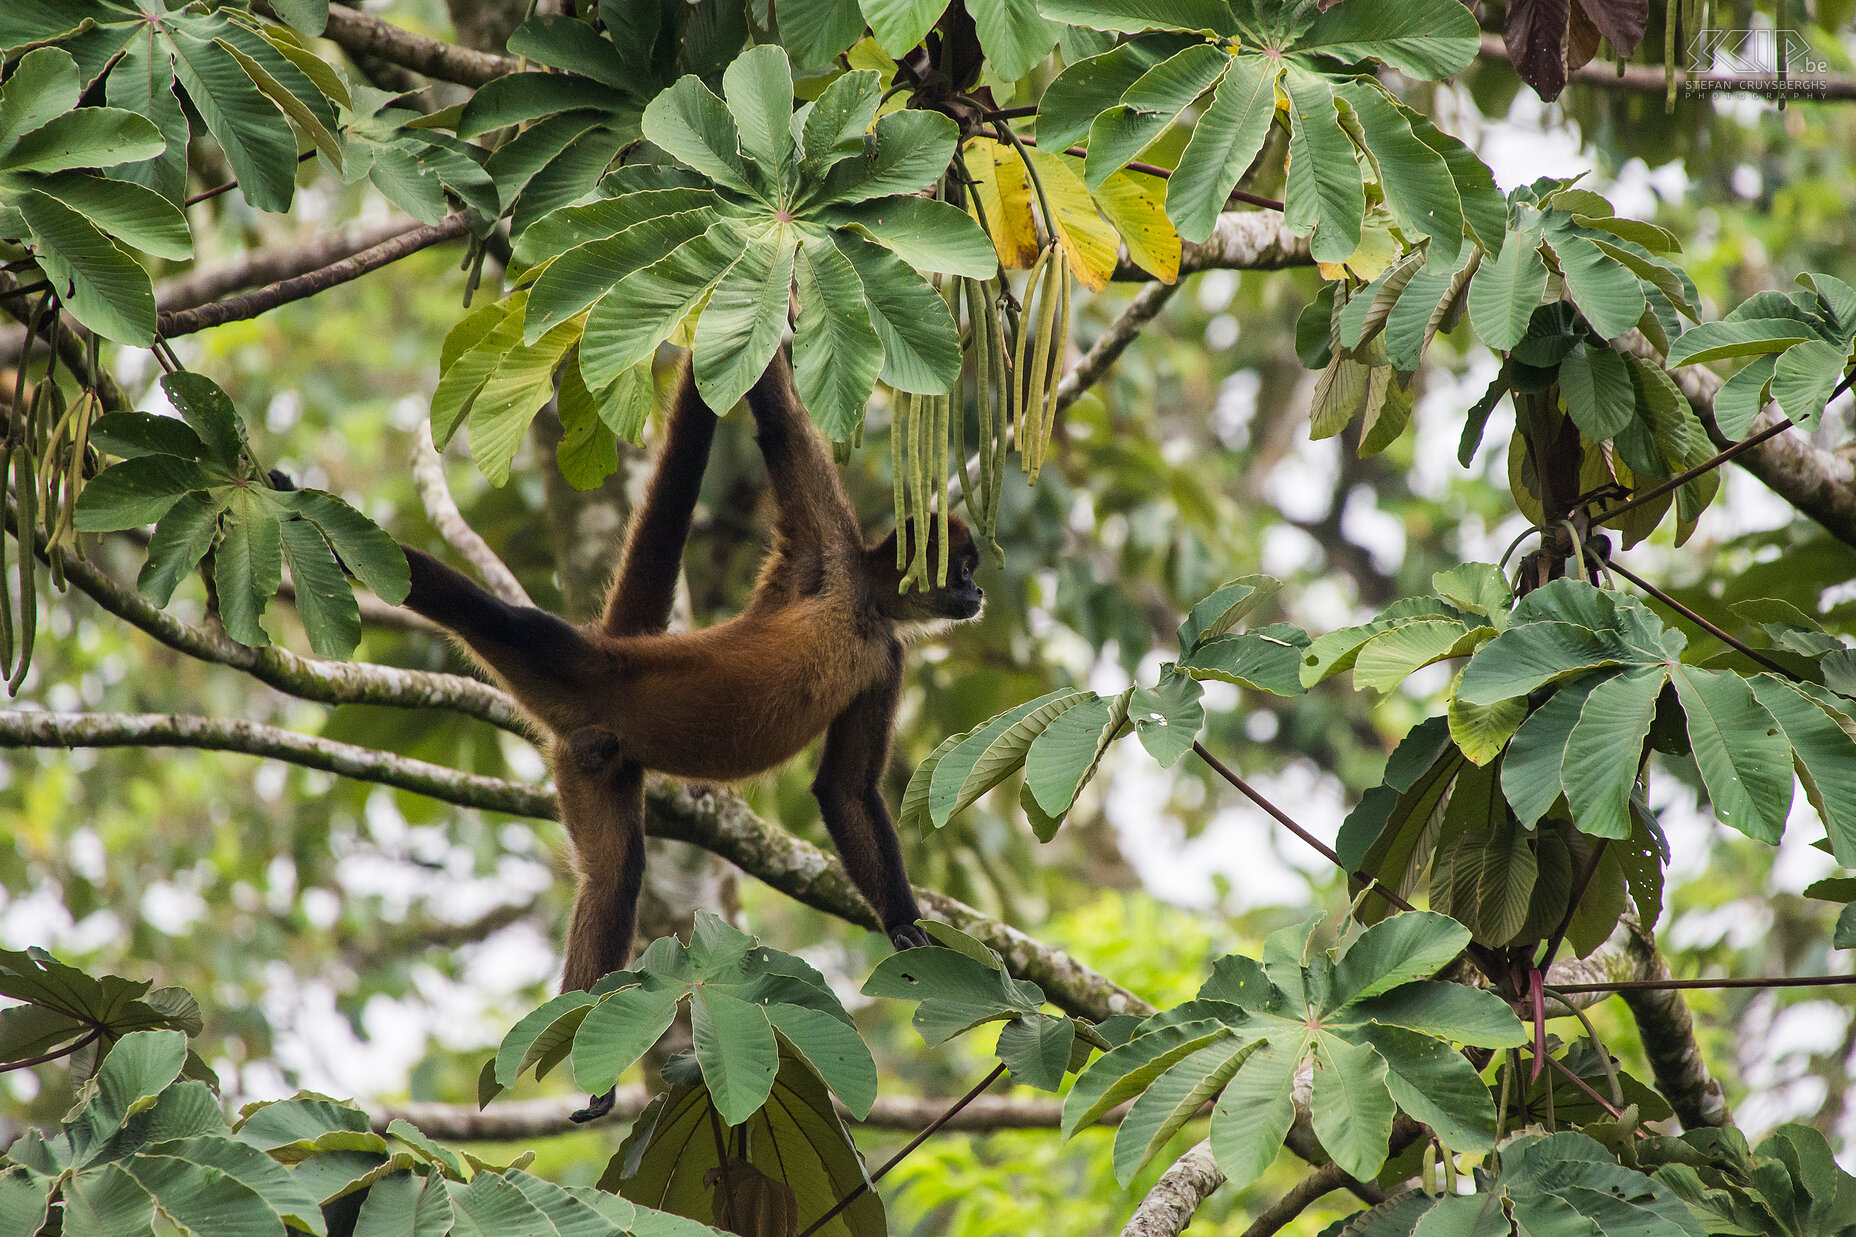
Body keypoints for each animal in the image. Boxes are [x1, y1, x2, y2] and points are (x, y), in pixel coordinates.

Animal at [400, 347, 987, 1106]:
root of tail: (613, 661)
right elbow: (780, 427)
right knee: (510, 624)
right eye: (964, 568)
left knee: (613, 876)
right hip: (574, 667)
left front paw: (902, 926)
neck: (862, 606)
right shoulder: (828, 552)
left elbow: (844, 787)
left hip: (595, 762)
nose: (978, 593)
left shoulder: (882, 654)